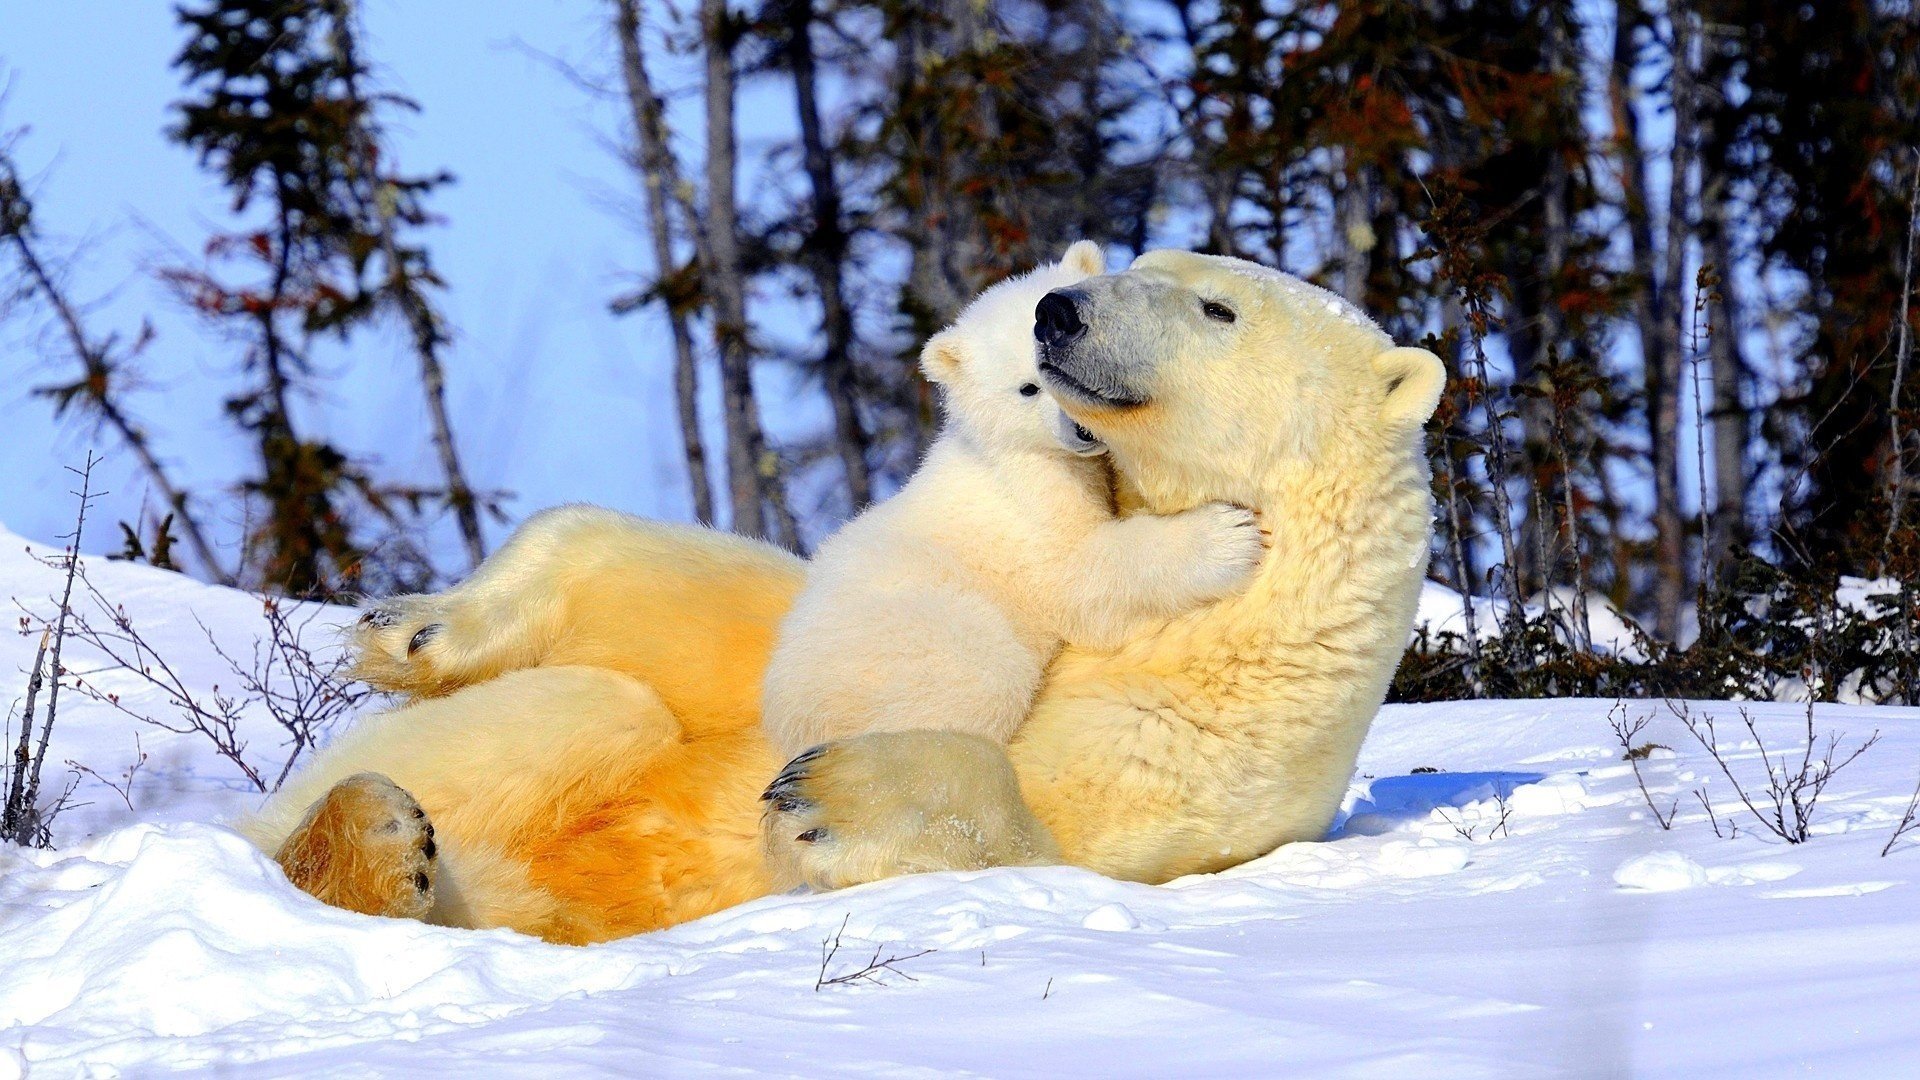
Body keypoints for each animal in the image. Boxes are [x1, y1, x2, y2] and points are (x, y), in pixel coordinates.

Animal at [762, 240, 1266, 759]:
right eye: (1029, 388)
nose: (1082, 430)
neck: (1004, 446)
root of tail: (790, 717)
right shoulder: (1030, 494)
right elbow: (1076, 572)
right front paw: (1227, 536)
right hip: (922, 638)